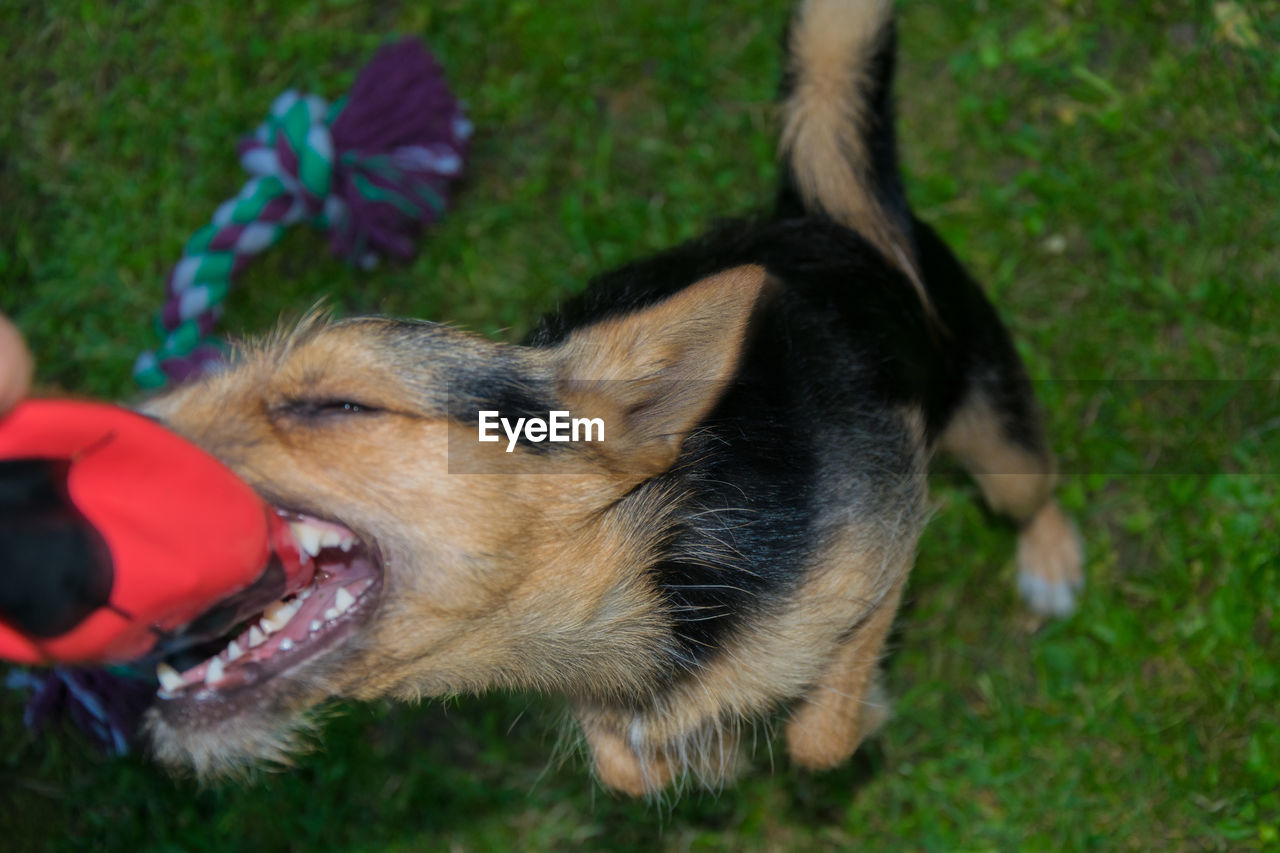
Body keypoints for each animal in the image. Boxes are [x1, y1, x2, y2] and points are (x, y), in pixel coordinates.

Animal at [140, 0, 1080, 794]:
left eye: (338, 406)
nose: (120, 432)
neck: (665, 559)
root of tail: (819, 219)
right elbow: (628, 762)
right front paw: (703, 753)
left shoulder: (888, 528)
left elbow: (823, 731)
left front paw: (842, 715)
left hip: (992, 429)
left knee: (1029, 487)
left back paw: (1051, 563)